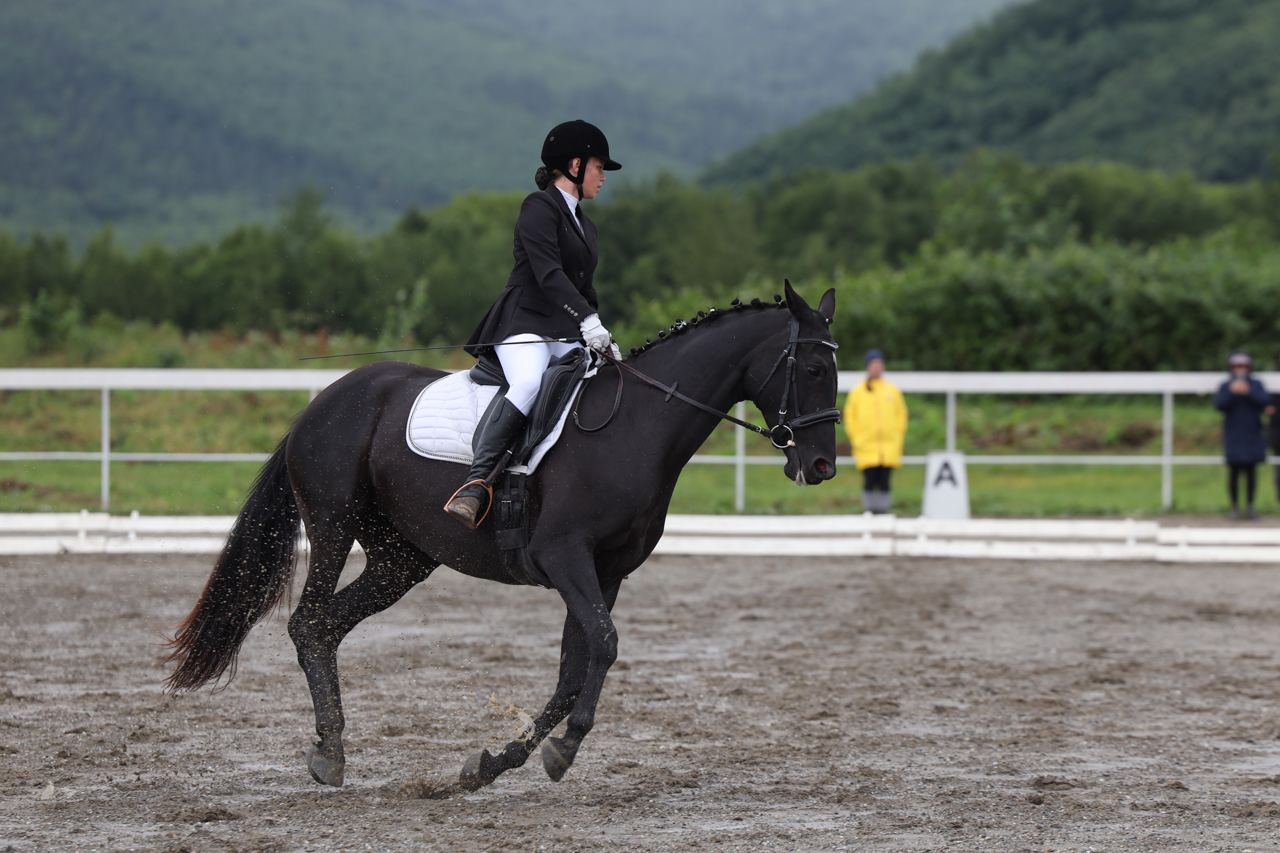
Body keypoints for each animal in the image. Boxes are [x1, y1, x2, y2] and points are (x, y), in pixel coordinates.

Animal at [162, 280, 839, 788]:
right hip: (333, 525)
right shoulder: (564, 556)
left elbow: (575, 665)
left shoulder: (607, 572)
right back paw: (329, 754)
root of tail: (322, 401)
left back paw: (333, 747)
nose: (821, 467)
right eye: (810, 367)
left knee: (325, 626)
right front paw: (561, 750)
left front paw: (495, 764)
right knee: (307, 622)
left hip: (400, 560)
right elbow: (605, 645)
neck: (638, 426)